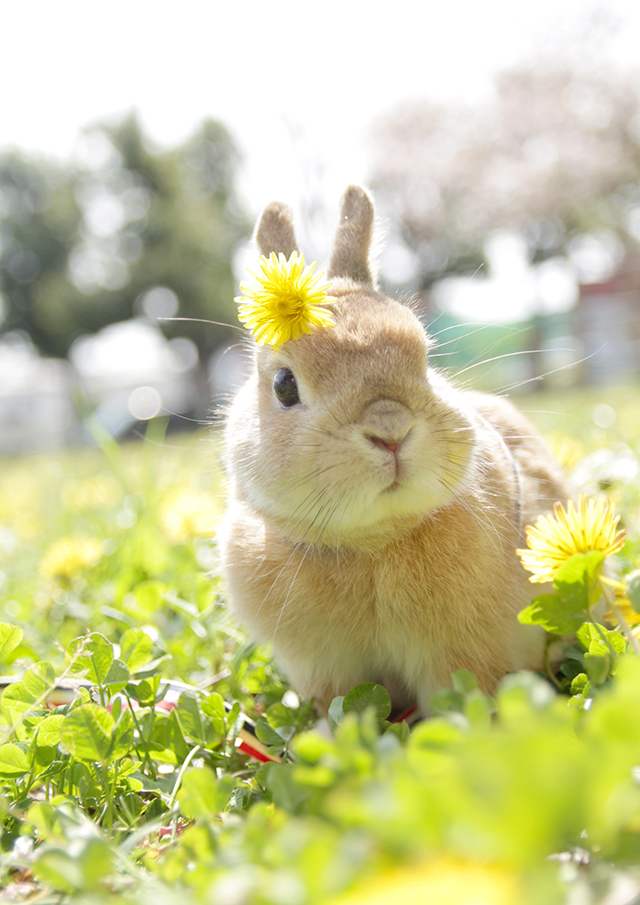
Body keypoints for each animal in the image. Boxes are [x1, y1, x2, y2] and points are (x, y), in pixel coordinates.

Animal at [218, 187, 568, 716]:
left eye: (425, 358)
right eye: (283, 385)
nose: (391, 430)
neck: (371, 542)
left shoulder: (458, 655)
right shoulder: (323, 670)